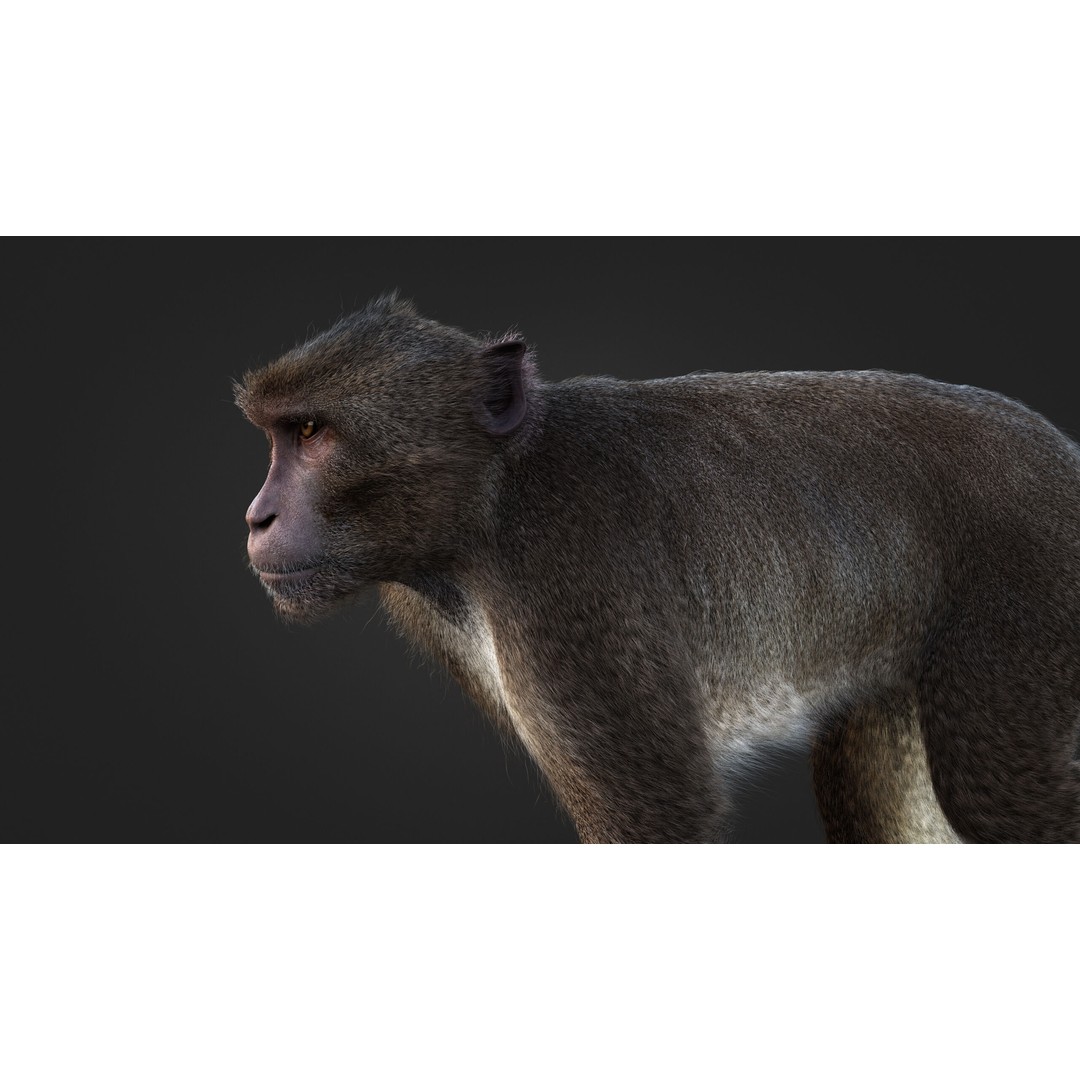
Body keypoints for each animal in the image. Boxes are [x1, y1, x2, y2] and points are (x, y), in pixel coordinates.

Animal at [235, 294, 1080, 843]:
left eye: (311, 433)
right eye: (281, 435)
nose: (256, 516)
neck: (497, 495)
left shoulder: (569, 584)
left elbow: (660, 814)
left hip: (1031, 581)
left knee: (997, 803)